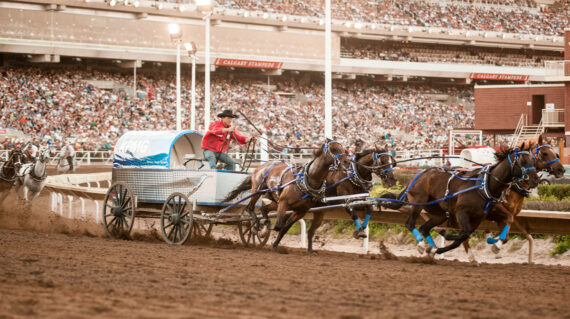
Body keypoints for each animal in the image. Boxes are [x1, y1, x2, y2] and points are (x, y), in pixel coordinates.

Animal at [390, 144, 536, 258]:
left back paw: (431, 247)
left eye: (533, 160)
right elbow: (463, 234)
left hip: (439, 213)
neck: (484, 185)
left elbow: (463, 237)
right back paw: (422, 244)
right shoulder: (461, 212)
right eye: (523, 161)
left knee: (424, 228)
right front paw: (444, 235)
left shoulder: (480, 217)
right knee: (410, 223)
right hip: (418, 202)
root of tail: (421, 174)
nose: (536, 179)